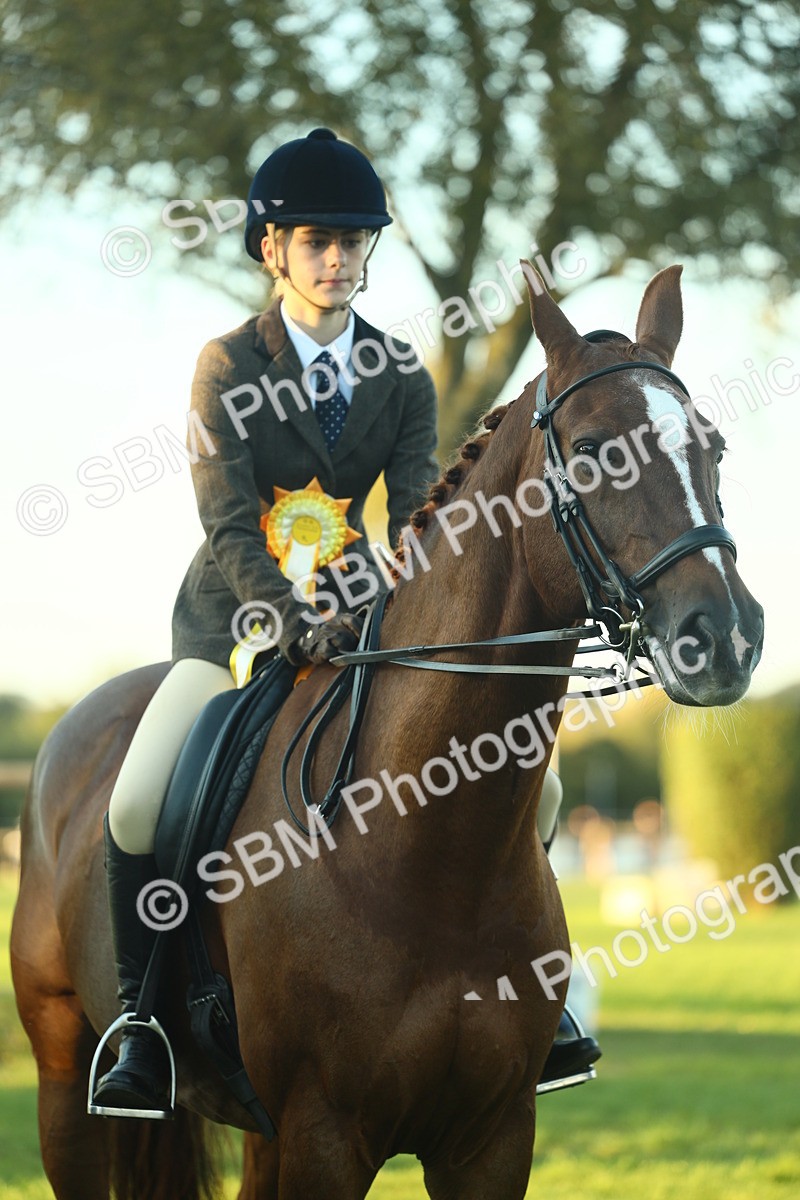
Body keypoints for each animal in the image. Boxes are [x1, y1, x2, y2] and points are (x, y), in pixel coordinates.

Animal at [11, 263, 763, 1200]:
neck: (428, 847)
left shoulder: (490, 1139)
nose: (725, 636)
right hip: (63, 1074)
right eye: (591, 450)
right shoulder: (324, 1135)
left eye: (713, 446)